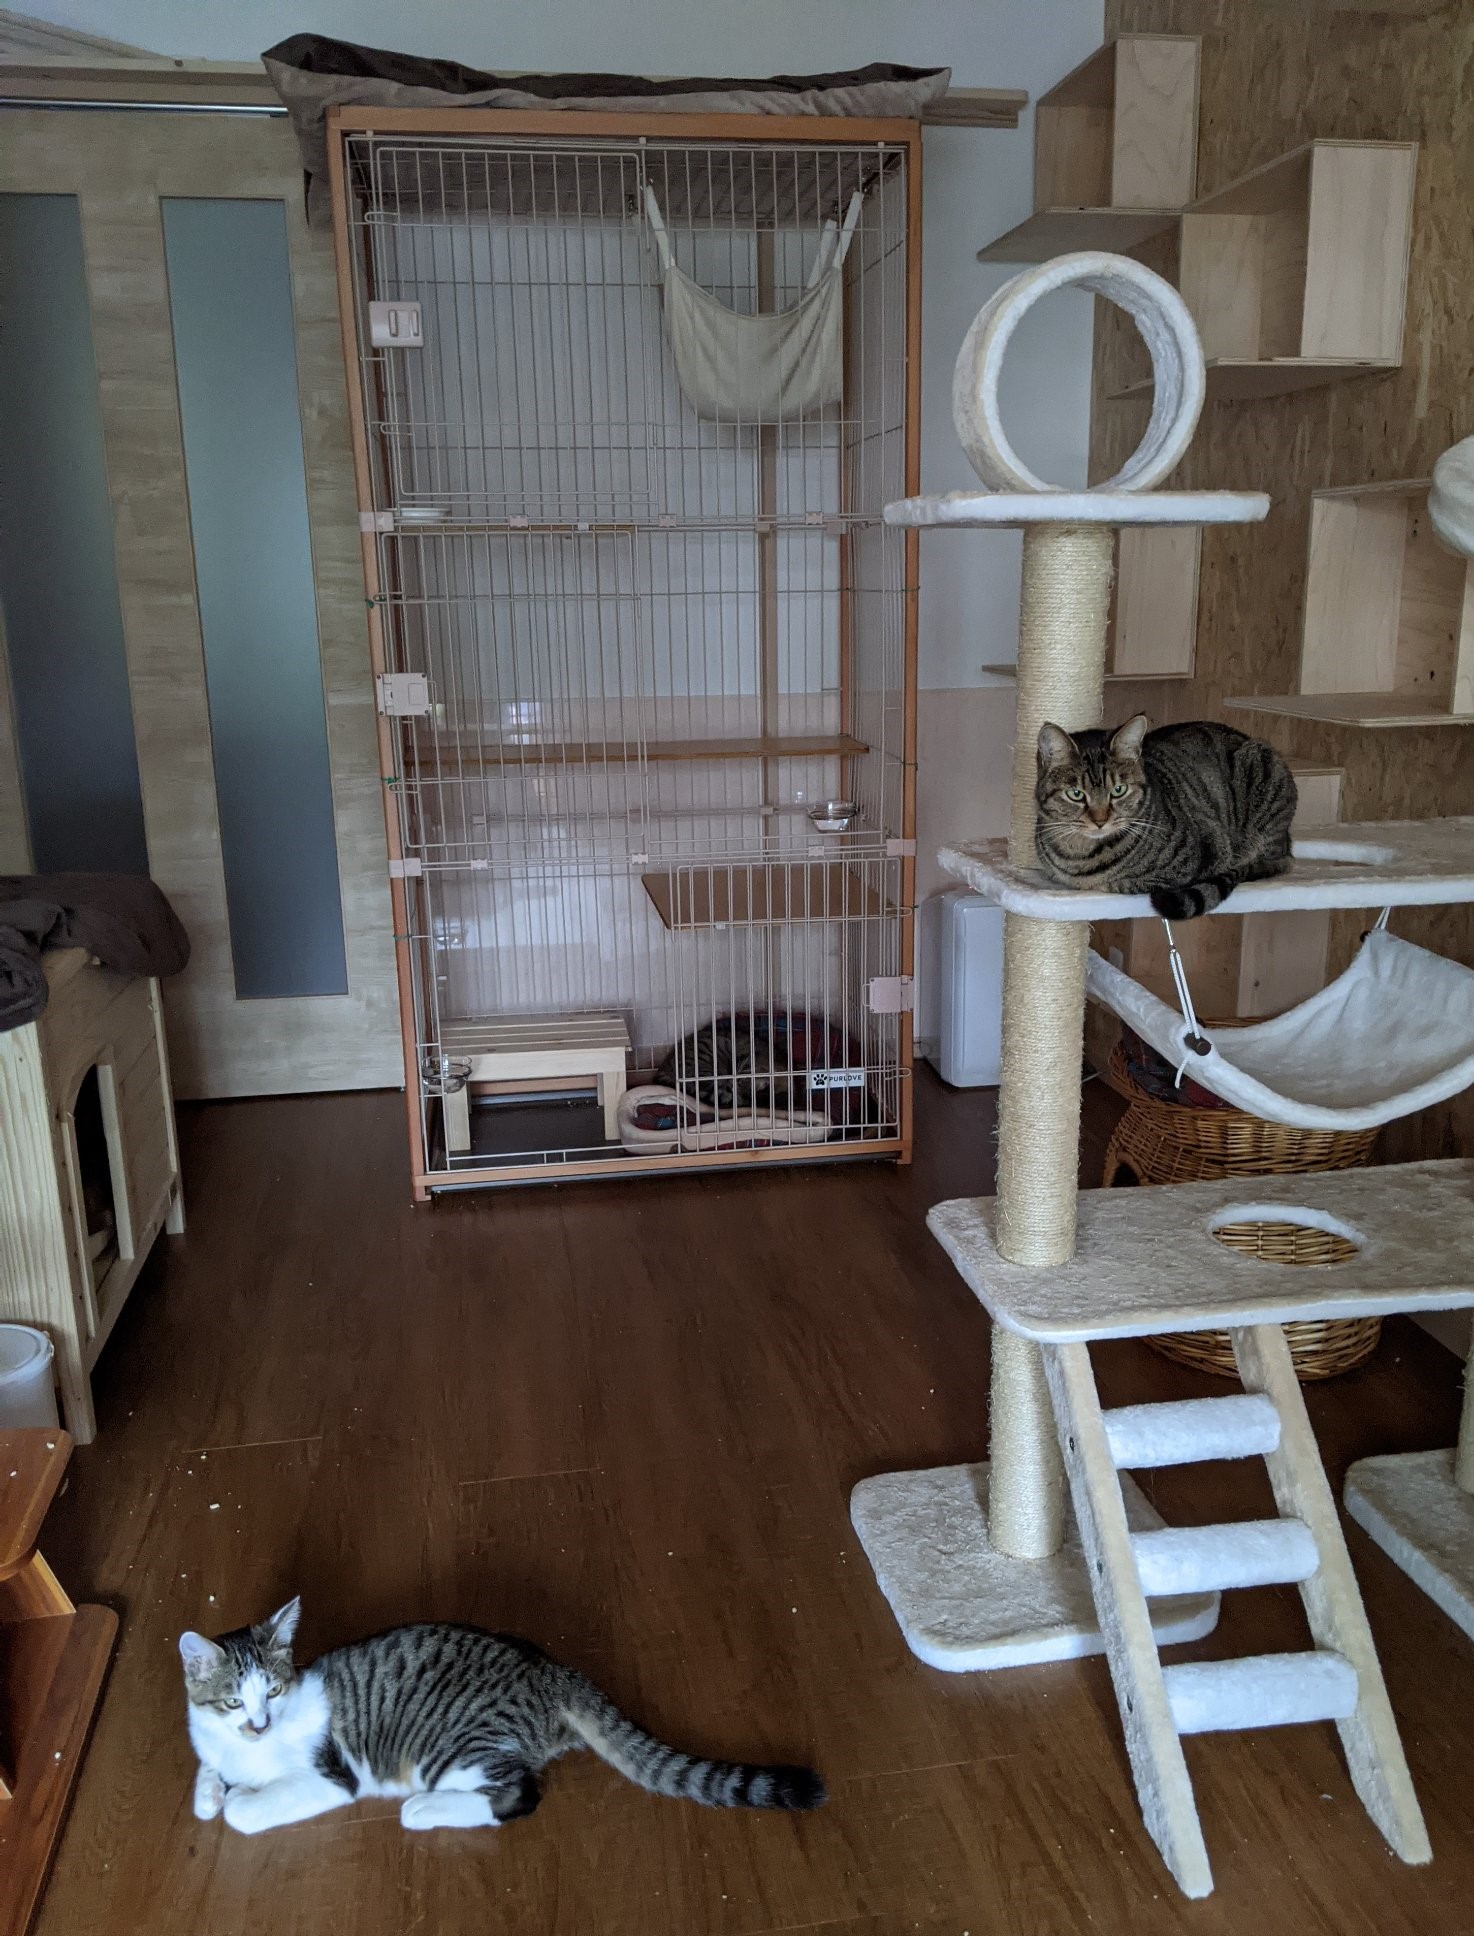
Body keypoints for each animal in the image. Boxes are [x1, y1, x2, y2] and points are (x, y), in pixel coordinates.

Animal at [180, 1599, 825, 1836]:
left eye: (274, 1690)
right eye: (235, 1701)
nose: (260, 1724)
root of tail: (549, 1669)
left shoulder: (328, 1777)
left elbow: (244, 1809)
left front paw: (237, 1798)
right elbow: (208, 1779)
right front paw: (211, 1789)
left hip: (453, 1745)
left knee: (517, 1794)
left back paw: (424, 1808)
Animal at [1034, 714, 1296, 918]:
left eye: (1119, 790)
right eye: (1076, 794)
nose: (1100, 821)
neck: (1079, 853)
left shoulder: (1208, 852)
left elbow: (1122, 883)